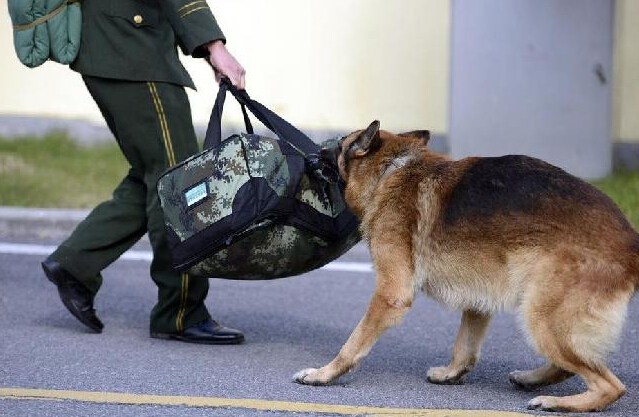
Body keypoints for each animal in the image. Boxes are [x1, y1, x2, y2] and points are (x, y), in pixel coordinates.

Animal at [296, 119, 639, 410]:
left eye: (339, 144)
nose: (311, 154)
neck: (389, 171)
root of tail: (631, 243)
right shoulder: (478, 297)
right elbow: (464, 346)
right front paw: (452, 373)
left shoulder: (391, 294)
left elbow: (353, 343)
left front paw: (324, 374)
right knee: (570, 367)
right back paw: (531, 379)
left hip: (541, 317)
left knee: (610, 386)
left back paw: (559, 402)